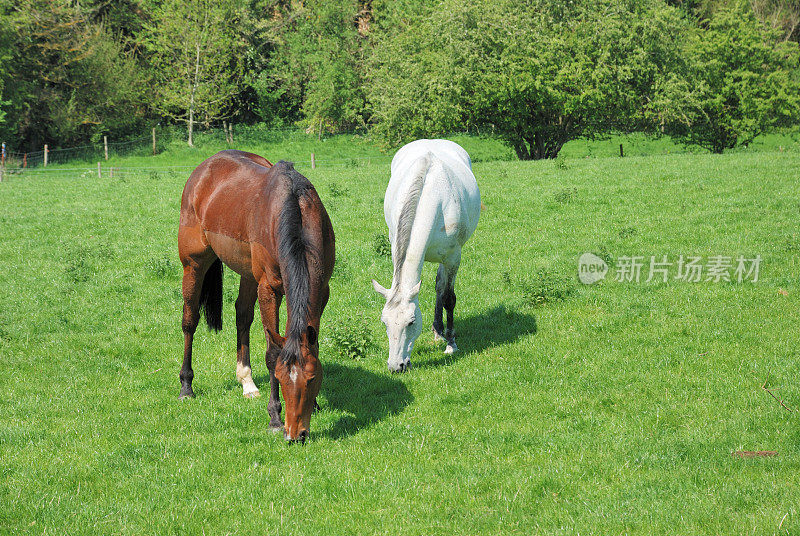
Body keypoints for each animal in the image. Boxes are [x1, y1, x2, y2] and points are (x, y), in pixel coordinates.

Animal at [178, 149, 334, 442]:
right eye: (281, 379)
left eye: (311, 379)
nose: (295, 434)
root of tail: (205, 167)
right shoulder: (269, 288)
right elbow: (273, 353)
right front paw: (274, 417)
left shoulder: (321, 290)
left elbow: (311, 344)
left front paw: (316, 404)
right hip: (193, 264)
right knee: (189, 322)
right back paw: (186, 386)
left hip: (248, 273)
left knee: (242, 316)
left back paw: (247, 382)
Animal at [372, 139, 478, 372]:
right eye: (385, 322)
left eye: (411, 322)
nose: (396, 366)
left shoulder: (452, 257)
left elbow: (448, 298)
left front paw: (451, 344)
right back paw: (437, 331)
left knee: (441, 287)